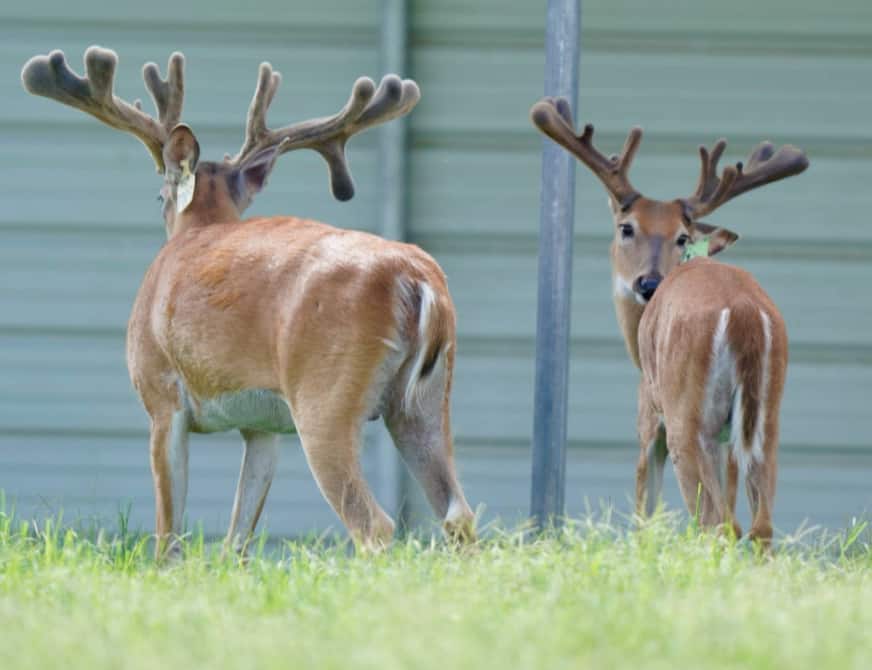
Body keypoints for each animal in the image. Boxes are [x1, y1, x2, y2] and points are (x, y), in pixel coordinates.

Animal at [21, 45, 476, 558]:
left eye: (158, 194)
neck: (201, 225)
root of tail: (416, 278)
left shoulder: (161, 393)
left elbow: (169, 535)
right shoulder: (263, 425)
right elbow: (238, 537)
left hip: (325, 395)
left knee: (373, 523)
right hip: (425, 399)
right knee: (458, 514)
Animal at [530, 97, 808, 544]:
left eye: (681, 236)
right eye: (628, 228)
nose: (648, 282)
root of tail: (745, 313)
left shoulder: (648, 410)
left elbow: (645, 511)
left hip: (686, 410)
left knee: (717, 521)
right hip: (765, 417)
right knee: (759, 525)